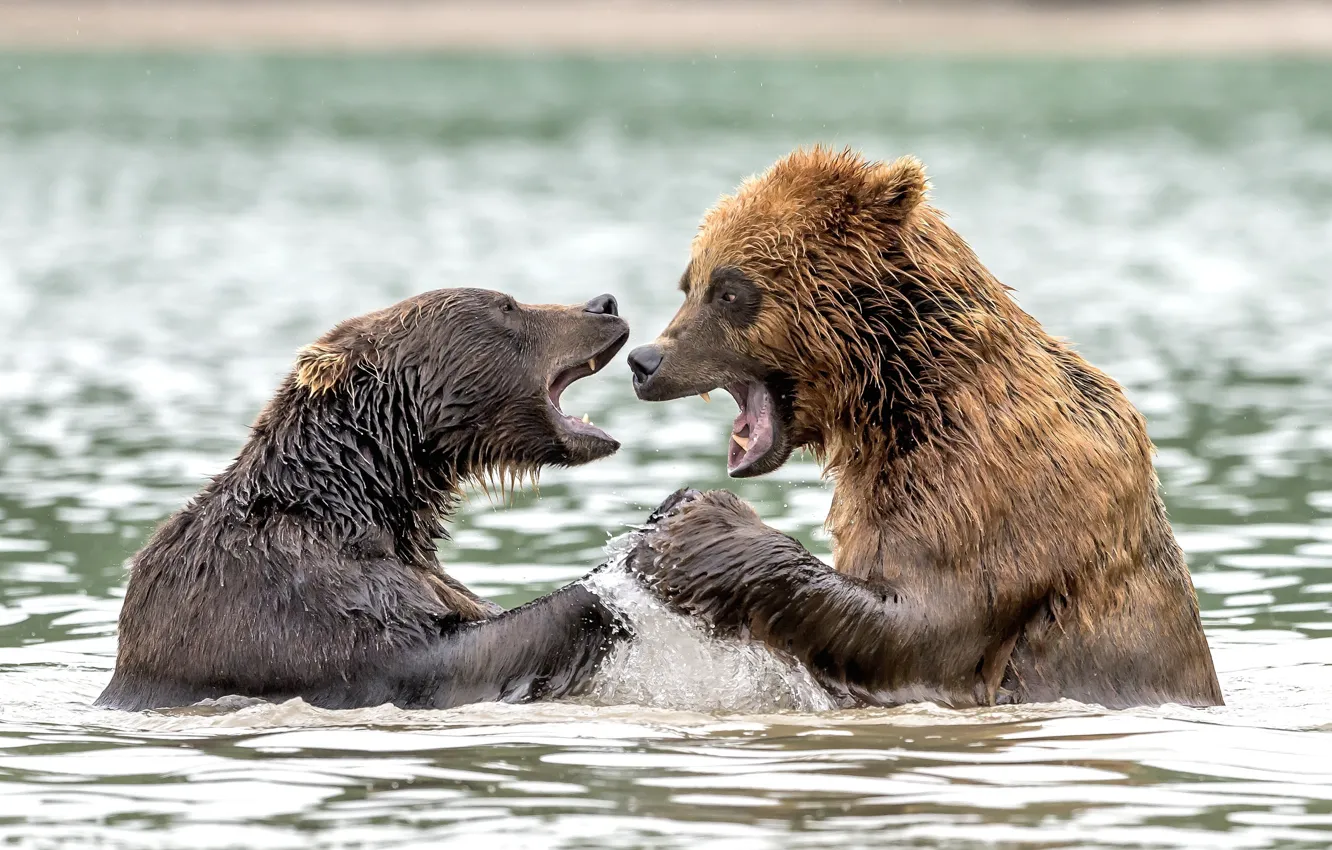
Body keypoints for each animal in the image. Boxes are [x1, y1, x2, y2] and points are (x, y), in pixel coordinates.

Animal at [625, 147, 1224, 710]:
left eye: (729, 290)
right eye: (689, 283)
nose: (645, 360)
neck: (896, 388)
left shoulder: (991, 485)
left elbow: (926, 626)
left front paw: (692, 526)